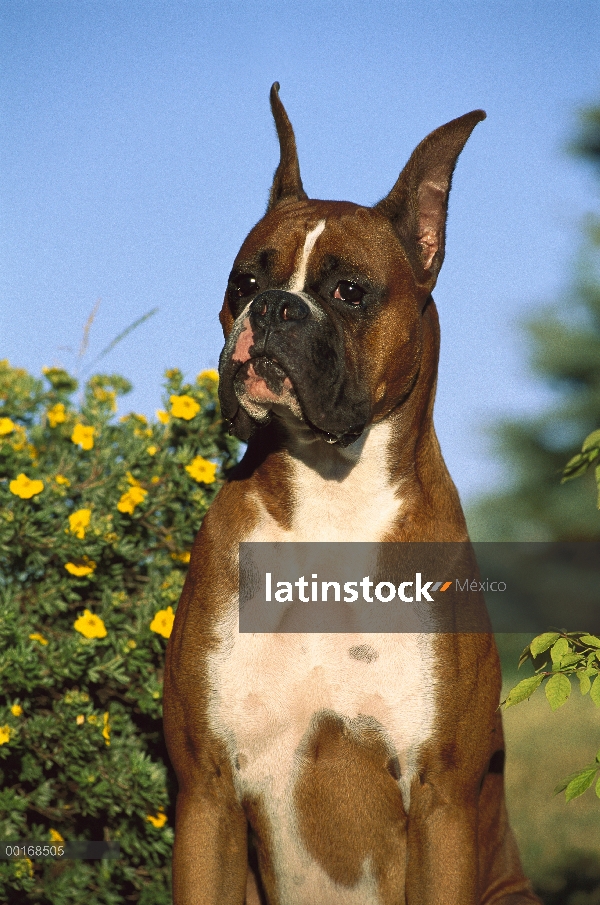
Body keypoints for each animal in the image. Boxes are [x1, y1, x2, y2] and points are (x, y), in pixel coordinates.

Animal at [164, 85, 540, 904]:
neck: (328, 493)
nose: (274, 308)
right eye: (244, 283)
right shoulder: (207, 793)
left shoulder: (441, 800)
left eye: (348, 291)